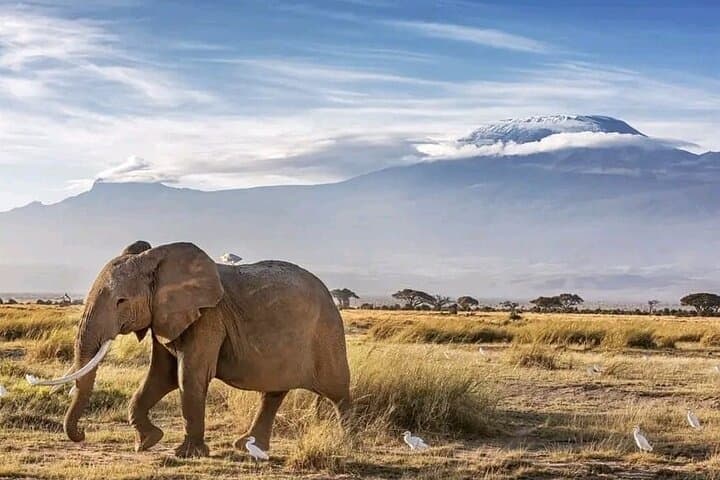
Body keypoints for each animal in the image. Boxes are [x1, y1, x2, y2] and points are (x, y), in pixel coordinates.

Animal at [35, 241, 351, 457]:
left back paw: (347, 442)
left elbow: (189, 376)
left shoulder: (208, 317)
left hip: (326, 333)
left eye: (121, 301)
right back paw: (247, 447)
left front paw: (186, 454)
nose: (82, 433)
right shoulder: (165, 317)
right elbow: (161, 376)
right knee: (273, 392)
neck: (157, 260)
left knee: (337, 391)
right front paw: (147, 442)